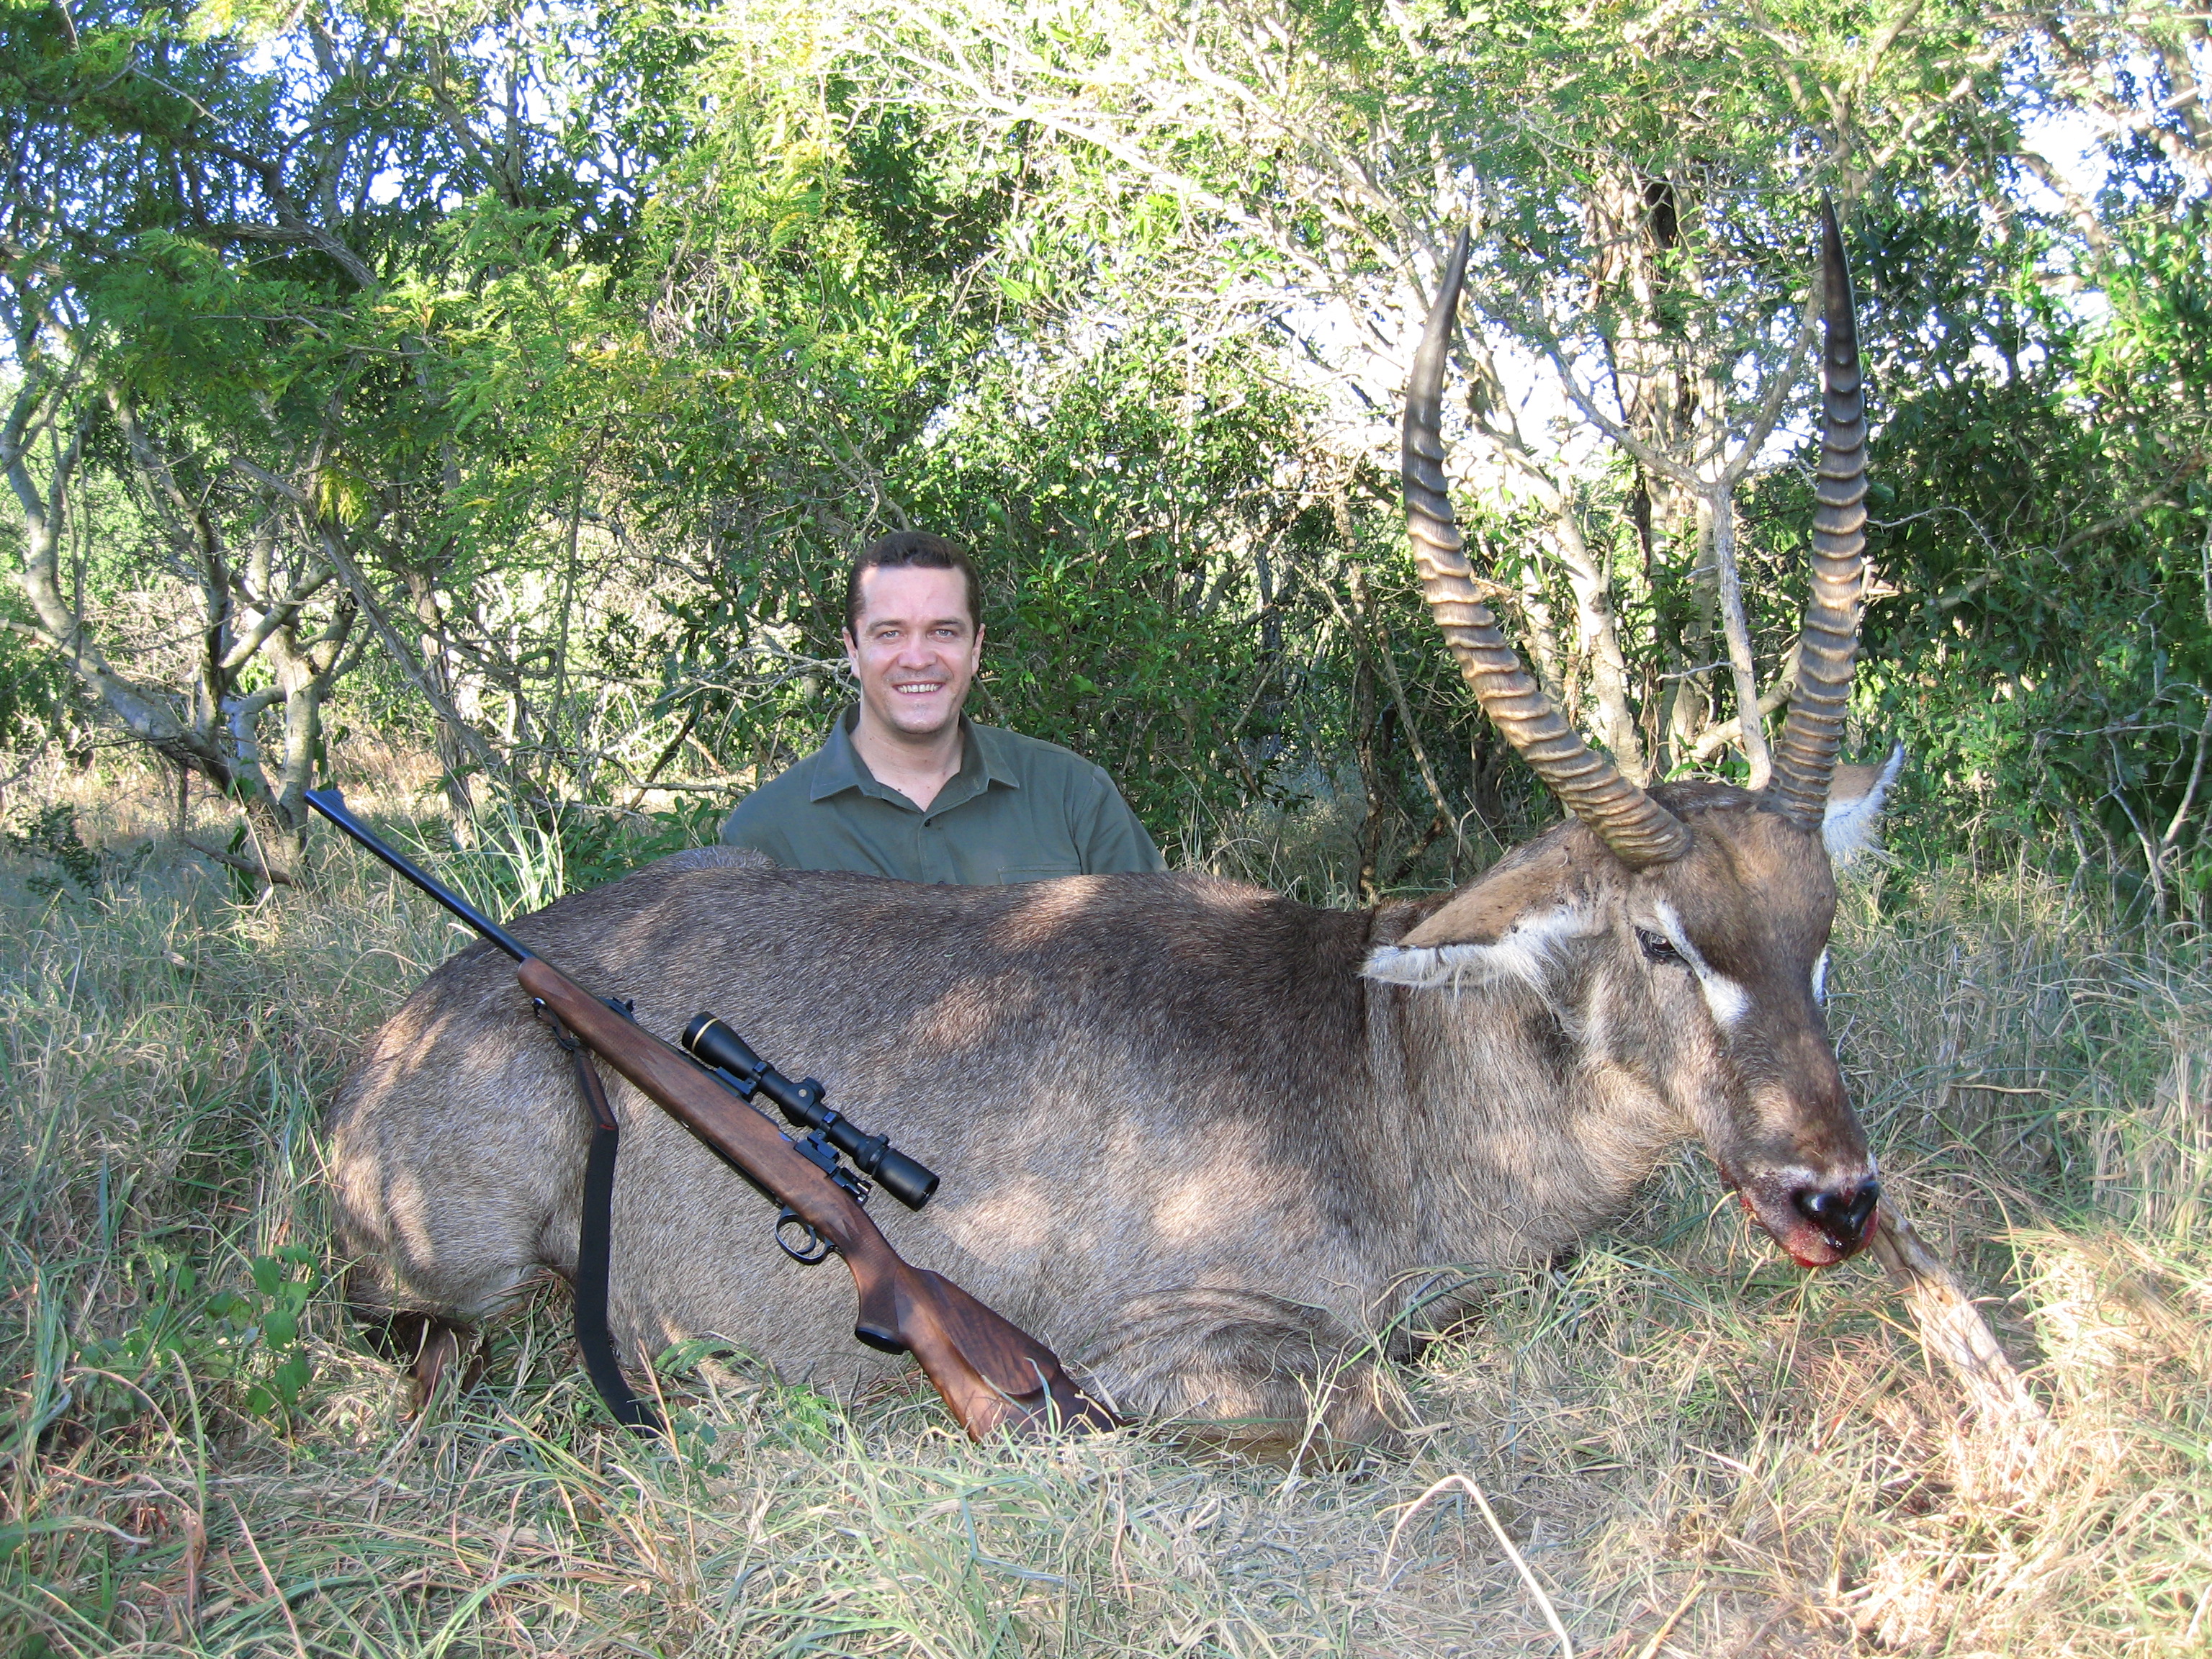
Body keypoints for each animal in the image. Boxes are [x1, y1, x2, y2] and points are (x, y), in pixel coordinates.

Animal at [336, 217, 1893, 1451]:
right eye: (1661, 940)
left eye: (1822, 933)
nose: (1836, 1199)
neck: (1386, 1068)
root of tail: (399, 1027)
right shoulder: (1155, 1342)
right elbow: (1370, 1404)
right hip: (452, 1265)